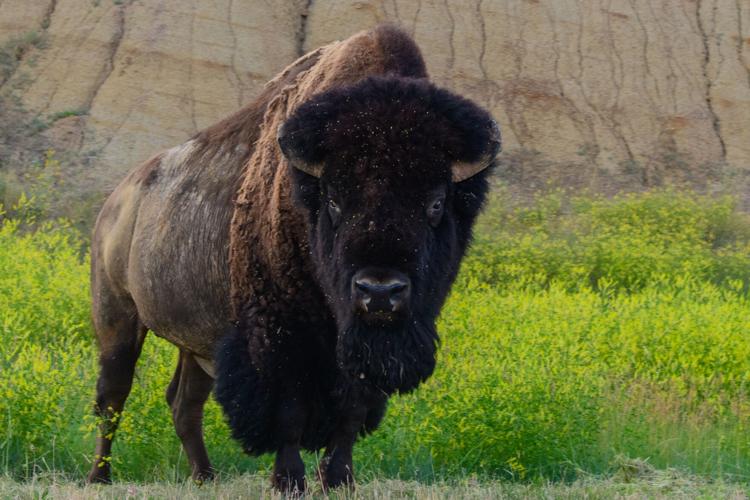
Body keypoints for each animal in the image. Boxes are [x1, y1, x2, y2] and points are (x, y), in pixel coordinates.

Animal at [86, 25, 500, 492]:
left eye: (435, 203)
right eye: (334, 202)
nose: (379, 292)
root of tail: (116, 201)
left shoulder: (356, 354)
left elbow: (350, 412)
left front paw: (339, 480)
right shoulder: (279, 338)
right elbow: (288, 412)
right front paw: (288, 481)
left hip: (196, 341)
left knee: (183, 403)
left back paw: (205, 477)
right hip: (117, 318)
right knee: (112, 397)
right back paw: (99, 477)